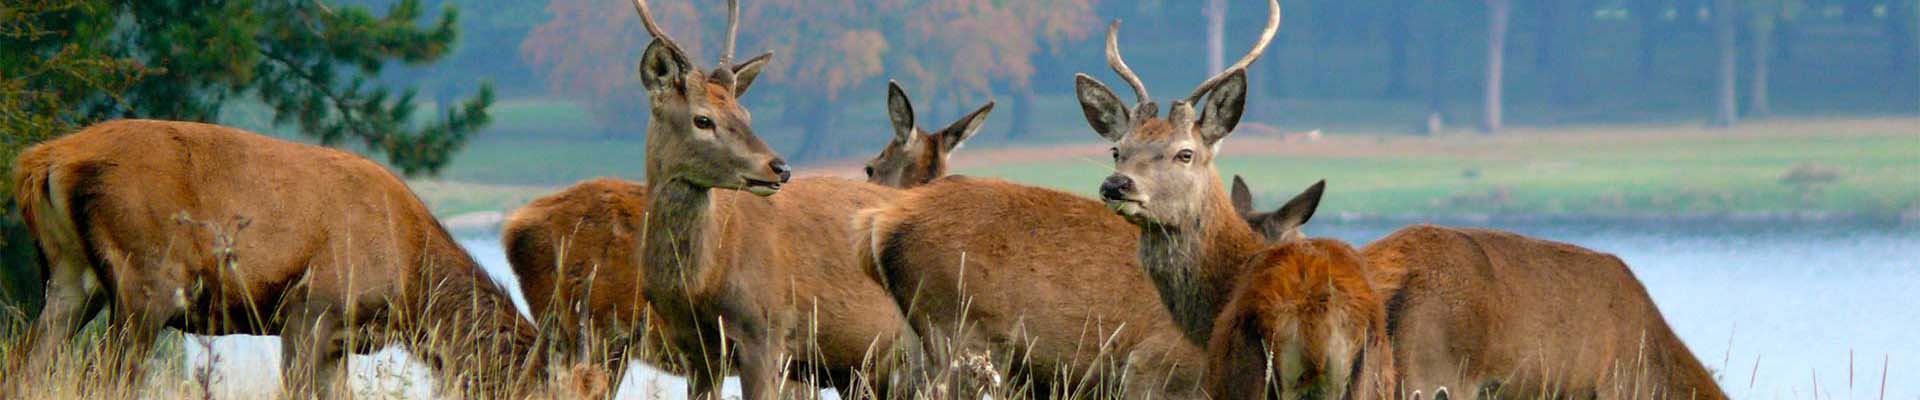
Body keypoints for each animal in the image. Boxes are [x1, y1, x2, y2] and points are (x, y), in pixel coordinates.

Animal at [1, 120, 583, 398]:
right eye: (537, 387)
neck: (410, 290)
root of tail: (42, 160)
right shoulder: (312, 308)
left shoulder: (339, 340)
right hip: (147, 280)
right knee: (104, 375)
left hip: (69, 277)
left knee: (26, 363)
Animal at [618, 0, 933, 396]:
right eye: (702, 119)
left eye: (745, 113)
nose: (779, 167)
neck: (700, 282)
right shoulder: (694, 350)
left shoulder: (766, 330)